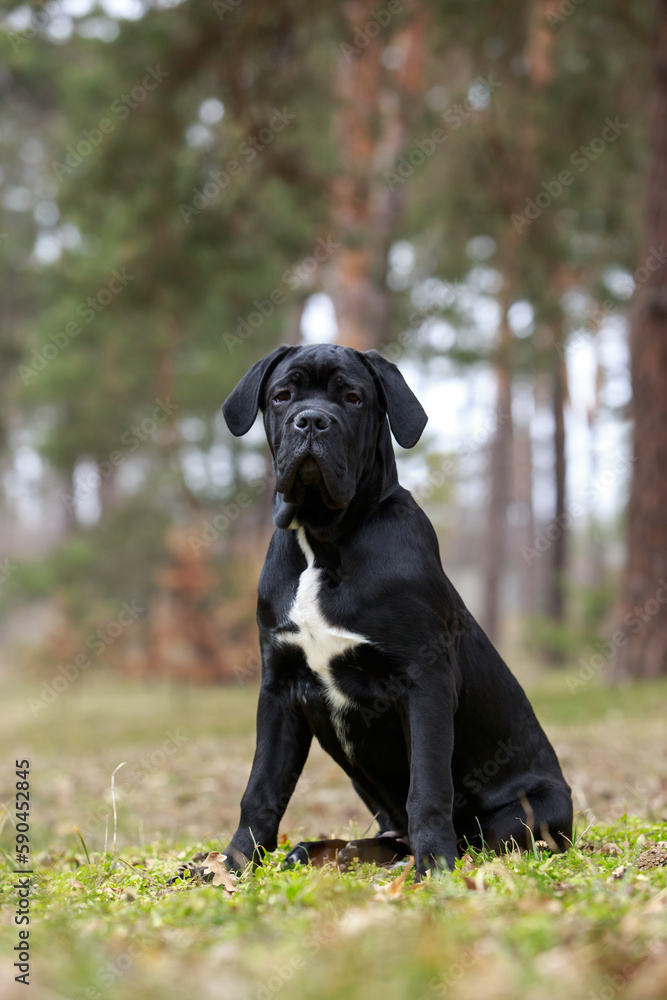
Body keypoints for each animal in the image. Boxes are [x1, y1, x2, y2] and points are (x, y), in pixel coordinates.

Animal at [219, 344, 576, 876]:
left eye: (352, 398)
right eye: (282, 395)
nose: (312, 421)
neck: (324, 541)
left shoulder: (423, 680)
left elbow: (427, 787)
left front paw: (435, 868)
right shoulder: (279, 686)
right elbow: (261, 788)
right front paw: (229, 866)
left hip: (533, 809)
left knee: (481, 833)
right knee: (391, 830)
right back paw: (328, 850)